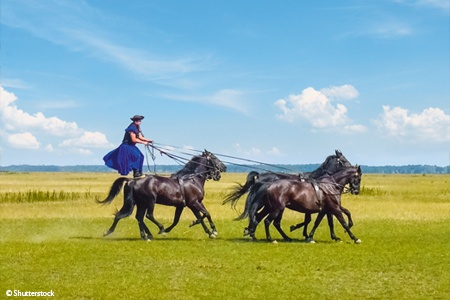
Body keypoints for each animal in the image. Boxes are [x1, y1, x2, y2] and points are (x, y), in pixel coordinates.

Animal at [97, 151, 227, 240]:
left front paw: (208, 231)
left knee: (134, 217)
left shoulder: (186, 205)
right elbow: (206, 214)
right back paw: (159, 229)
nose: (224, 167)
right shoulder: (194, 203)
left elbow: (183, 219)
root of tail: (132, 180)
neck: (192, 179)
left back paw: (144, 235)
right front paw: (212, 231)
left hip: (140, 203)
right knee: (147, 216)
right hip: (150, 201)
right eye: (214, 158)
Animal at [223, 150, 354, 241]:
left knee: (258, 217)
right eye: (344, 160)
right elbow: (317, 220)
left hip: (269, 206)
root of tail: (259, 177)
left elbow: (320, 220)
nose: (353, 168)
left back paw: (252, 233)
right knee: (262, 218)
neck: (319, 181)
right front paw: (300, 231)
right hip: (272, 206)